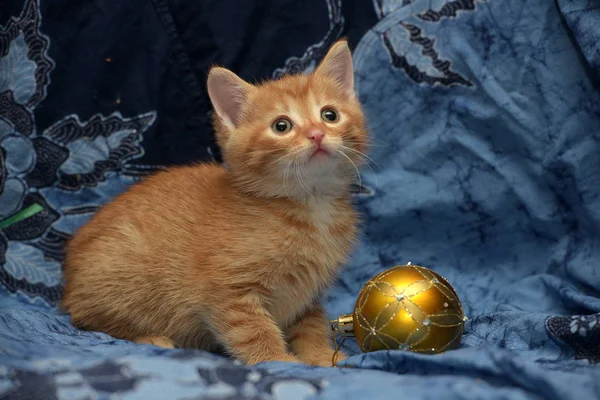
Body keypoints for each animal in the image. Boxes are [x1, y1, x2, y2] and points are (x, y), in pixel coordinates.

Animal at [62, 39, 370, 366]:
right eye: (281, 126)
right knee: (86, 317)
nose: (316, 134)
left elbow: (311, 324)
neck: (310, 204)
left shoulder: (307, 295)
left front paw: (321, 355)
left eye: (329, 115)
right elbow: (253, 329)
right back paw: (149, 337)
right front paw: (278, 360)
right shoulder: (228, 291)